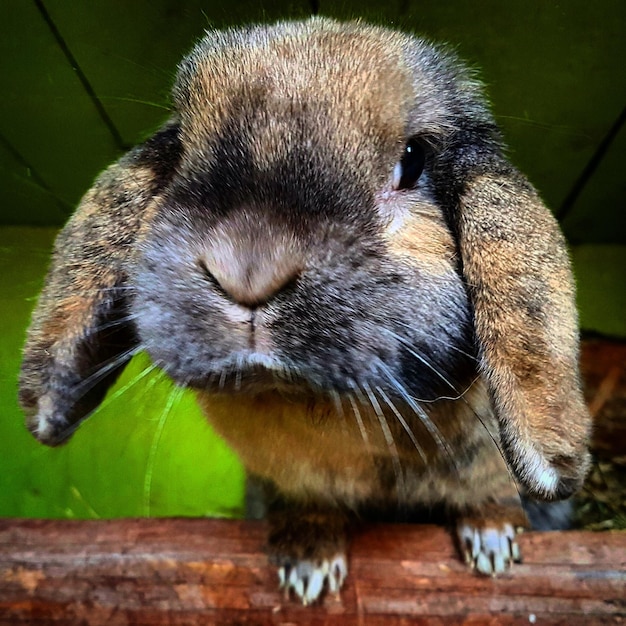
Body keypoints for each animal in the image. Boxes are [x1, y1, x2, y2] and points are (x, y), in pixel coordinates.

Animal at [17, 17, 588, 604]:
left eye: (413, 161)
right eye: (178, 148)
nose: (248, 268)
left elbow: (489, 495)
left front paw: (492, 543)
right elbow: (309, 510)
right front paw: (308, 566)